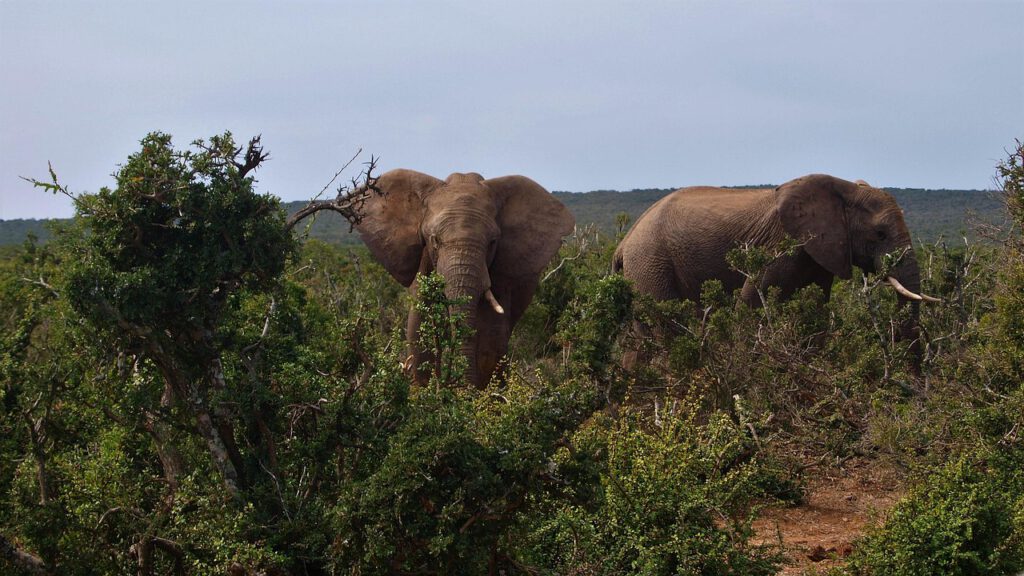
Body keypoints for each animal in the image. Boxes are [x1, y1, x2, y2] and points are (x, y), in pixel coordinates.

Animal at [355, 168, 575, 388]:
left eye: (492, 242)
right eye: (435, 240)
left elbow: (492, 335)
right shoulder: (424, 258)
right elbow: (420, 324)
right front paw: (424, 392)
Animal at [613, 174, 938, 365]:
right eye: (880, 234)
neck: (843, 188)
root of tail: (624, 242)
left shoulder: (821, 252)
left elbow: (817, 310)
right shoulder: (780, 243)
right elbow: (751, 302)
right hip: (650, 265)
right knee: (666, 332)